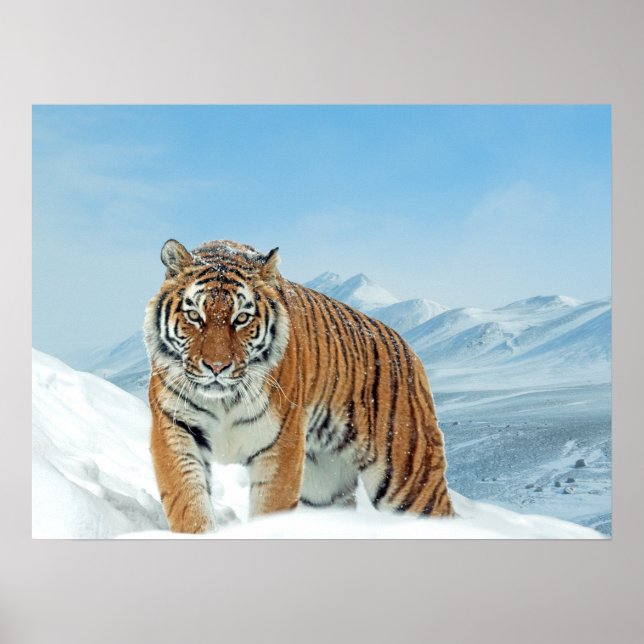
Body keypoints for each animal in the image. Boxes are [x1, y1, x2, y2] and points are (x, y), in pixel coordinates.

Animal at [144, 238, 454, 533]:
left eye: (241, 318)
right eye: (194, 316)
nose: (217, 367)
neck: (224, 400)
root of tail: (408, 349)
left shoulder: (281, 444)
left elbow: (270, 508)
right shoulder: (175, 428)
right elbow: (187, 501)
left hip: (409, 477)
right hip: (324, 486)